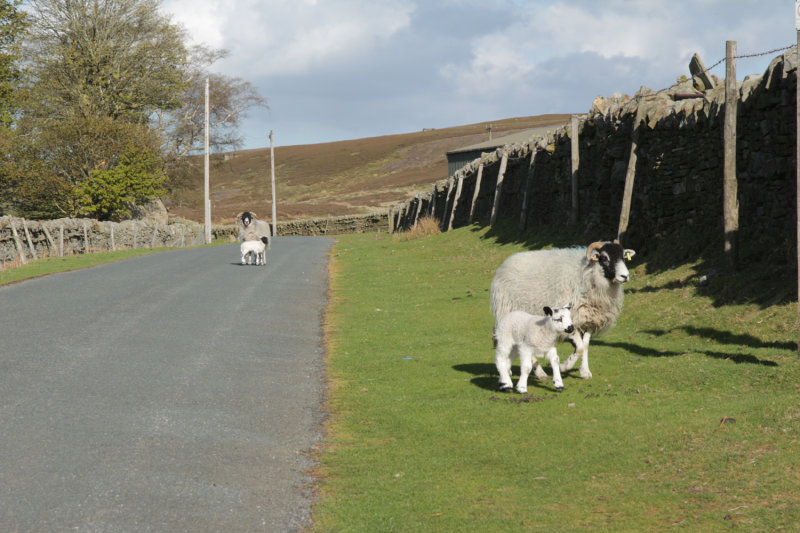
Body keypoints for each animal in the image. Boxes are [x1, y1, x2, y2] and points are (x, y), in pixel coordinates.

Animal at [488, 240, 636, 382]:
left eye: (623, 256)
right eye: (604, 257)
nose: (625, 276)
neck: (587, 276)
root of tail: (505, 263)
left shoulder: (588, 320)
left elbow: (585, 346)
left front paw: (585, 371)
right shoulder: (569, 319)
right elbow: (580, 347)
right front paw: (564, 366)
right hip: (507, 311)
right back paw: (536, 372)